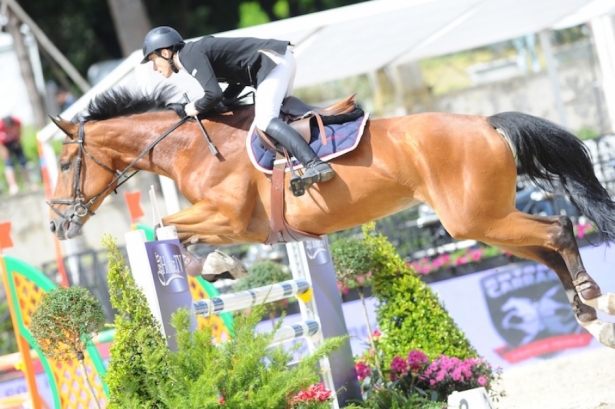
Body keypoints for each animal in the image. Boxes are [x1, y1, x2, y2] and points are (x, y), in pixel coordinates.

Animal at [48, 84, 615, 346]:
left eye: (65, 163)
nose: (57, 224)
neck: (191, 146)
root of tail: (486, 123)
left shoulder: (230, 218)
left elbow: (167, 226)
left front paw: (216, 268)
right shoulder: (227, 223)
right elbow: (179, 237)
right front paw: (217, 269)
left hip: (476, 220)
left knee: (559, 230)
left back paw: (592, 295)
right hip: (480, 222)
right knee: (546, 251)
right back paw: (587, 315)